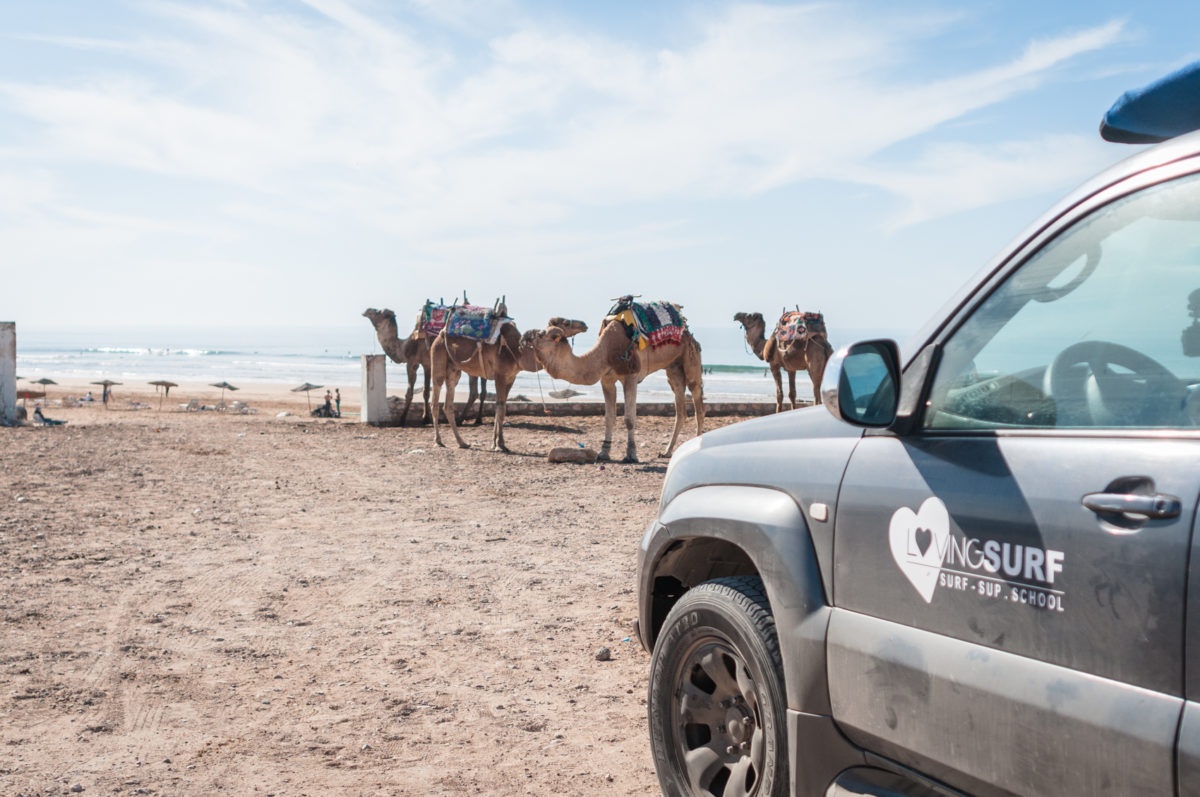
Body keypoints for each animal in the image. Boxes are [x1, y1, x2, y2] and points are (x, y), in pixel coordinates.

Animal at [429, 306, 588, 453]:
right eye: (565, 323)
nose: (584, 324)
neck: (518, 353)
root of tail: (440, 334)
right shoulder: (500, 375)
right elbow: (500, 407)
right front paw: (499, 445)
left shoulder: (511, 378)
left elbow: (502, 407)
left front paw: (497, 443)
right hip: (437, 357)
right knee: (435, 399)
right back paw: (438, 441)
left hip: (454, 369)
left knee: (448, 403)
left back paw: (462, 443)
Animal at [532, 306, 705, 468]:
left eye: (544, 335)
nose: (529, 337)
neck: (606, 352)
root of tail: (687, 331)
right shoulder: (607, 380)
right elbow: (609, 417)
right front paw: (603, 452)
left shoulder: (631, 376)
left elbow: (629, 418)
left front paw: (631, 455)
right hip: (673, 368)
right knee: (680, 407)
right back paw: (667, 452)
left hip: (690, 357)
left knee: (697, 399)